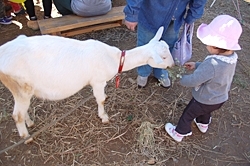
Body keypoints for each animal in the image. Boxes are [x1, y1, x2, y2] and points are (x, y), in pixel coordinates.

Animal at [0, 26, 174, 143]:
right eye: (164, 57)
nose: (173, 64)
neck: (114, 58)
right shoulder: (98, 80)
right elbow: (101, 99)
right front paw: (104, 117)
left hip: (21, 91)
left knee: (22, 111)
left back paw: (30, 123)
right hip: (20, 85)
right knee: (16, 115)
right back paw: (26, 137)